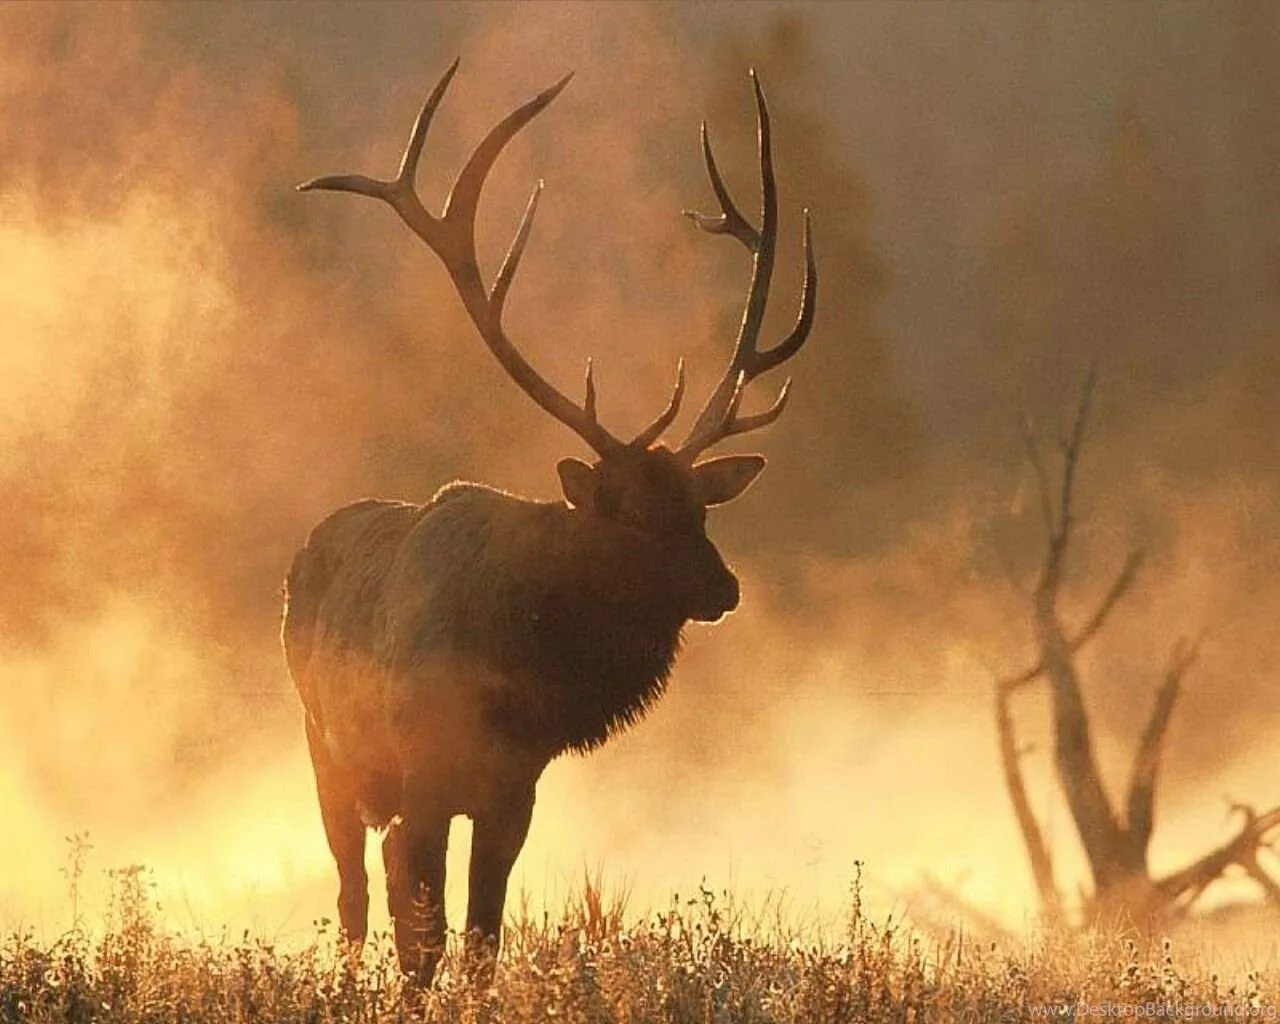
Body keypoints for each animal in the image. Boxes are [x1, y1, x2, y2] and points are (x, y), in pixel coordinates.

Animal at [284, 57, 814, 983]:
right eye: (628, 514)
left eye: (699, 507)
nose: (725, 588)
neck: (517, 669)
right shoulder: (424, 778)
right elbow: (420, 937)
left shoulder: (515, 791)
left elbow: (483, 936)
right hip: (325, 749)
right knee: (352, 895)